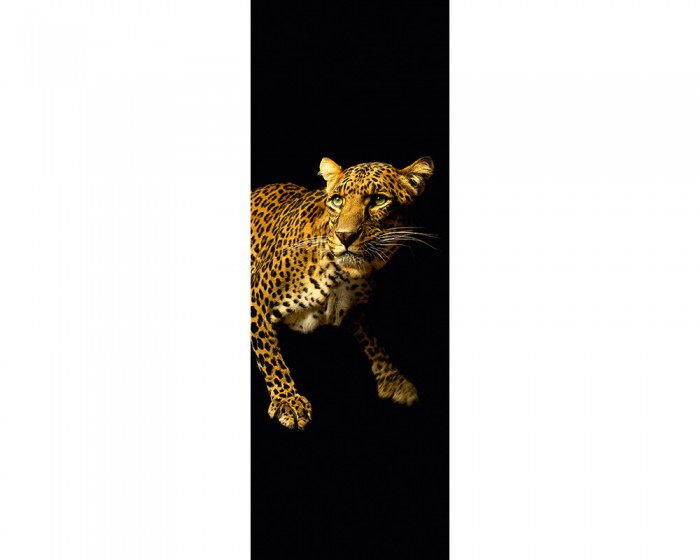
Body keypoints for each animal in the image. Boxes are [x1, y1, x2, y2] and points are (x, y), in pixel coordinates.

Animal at [251, 156, 435, 429]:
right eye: (337, 200)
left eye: (378, 200)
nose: (345, 236)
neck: (339, 274)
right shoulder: (257, 300)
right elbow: (270, 356)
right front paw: (288, 401)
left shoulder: (355, 311)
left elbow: (372, 340)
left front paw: (393, 379)